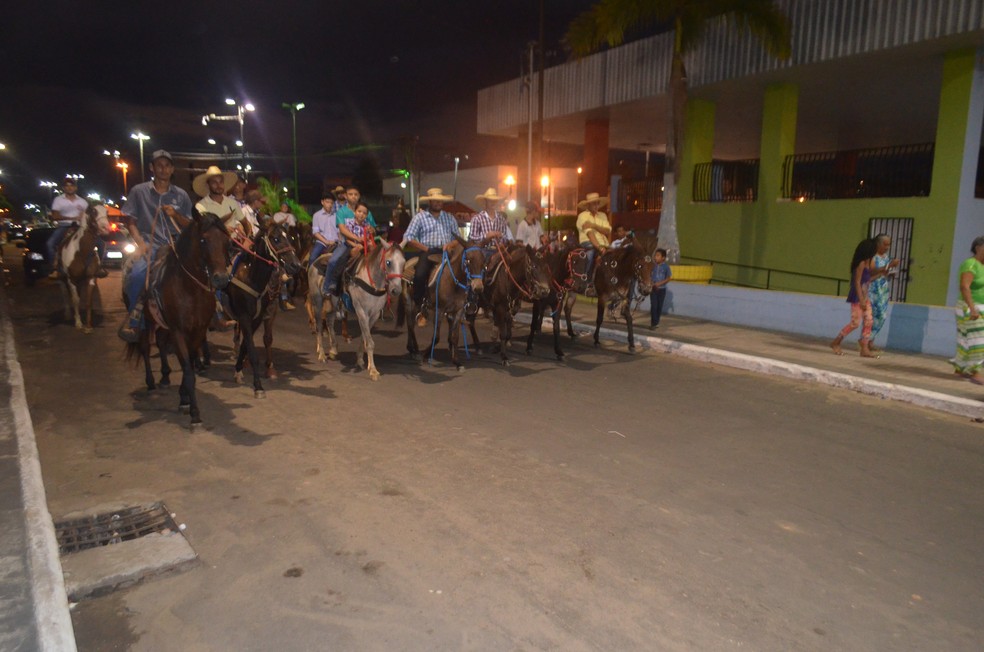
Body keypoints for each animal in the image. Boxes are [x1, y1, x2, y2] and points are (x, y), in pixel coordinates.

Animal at [125, 211, 233, 430]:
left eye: (227, 241)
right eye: (203, 240)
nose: (220, 279)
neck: (191, 289)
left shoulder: (198, 331)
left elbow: (188, 365)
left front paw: (184, 398)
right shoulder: (179, 331)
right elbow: (188, 370)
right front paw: (194, 413)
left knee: (159, 340)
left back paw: (166, 375)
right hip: (146, 322)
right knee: (145, 348)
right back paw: (151, 382)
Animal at [228, 219, 302, 394]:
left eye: (291, 238)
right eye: (275, 239)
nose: (296, 265)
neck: (251, 276)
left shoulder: (260, 316)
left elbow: (250, 344)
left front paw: (239, 370)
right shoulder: (244, 316)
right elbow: (251, 348)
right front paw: (258, 386)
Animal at [348, 242, 406, 380]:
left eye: (404, 262)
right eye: (388, 262)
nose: (396, 290)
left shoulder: (374, 314)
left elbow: (365, 337)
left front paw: (360, 360)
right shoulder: (361, 311)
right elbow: (369, 342)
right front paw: (373, 370)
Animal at [398, 239, 486, 372]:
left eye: (483, 261)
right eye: (468, 260)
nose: (478, 287)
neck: (452, 281)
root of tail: (409, 261)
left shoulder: (458, 311)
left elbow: (454, 337)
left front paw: (457, 362)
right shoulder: (439, 310)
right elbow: (436, 337)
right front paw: (426, 355)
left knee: (411, 324)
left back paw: (413, 349)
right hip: (409, 302)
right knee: (410, 325)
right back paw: (416, 352)